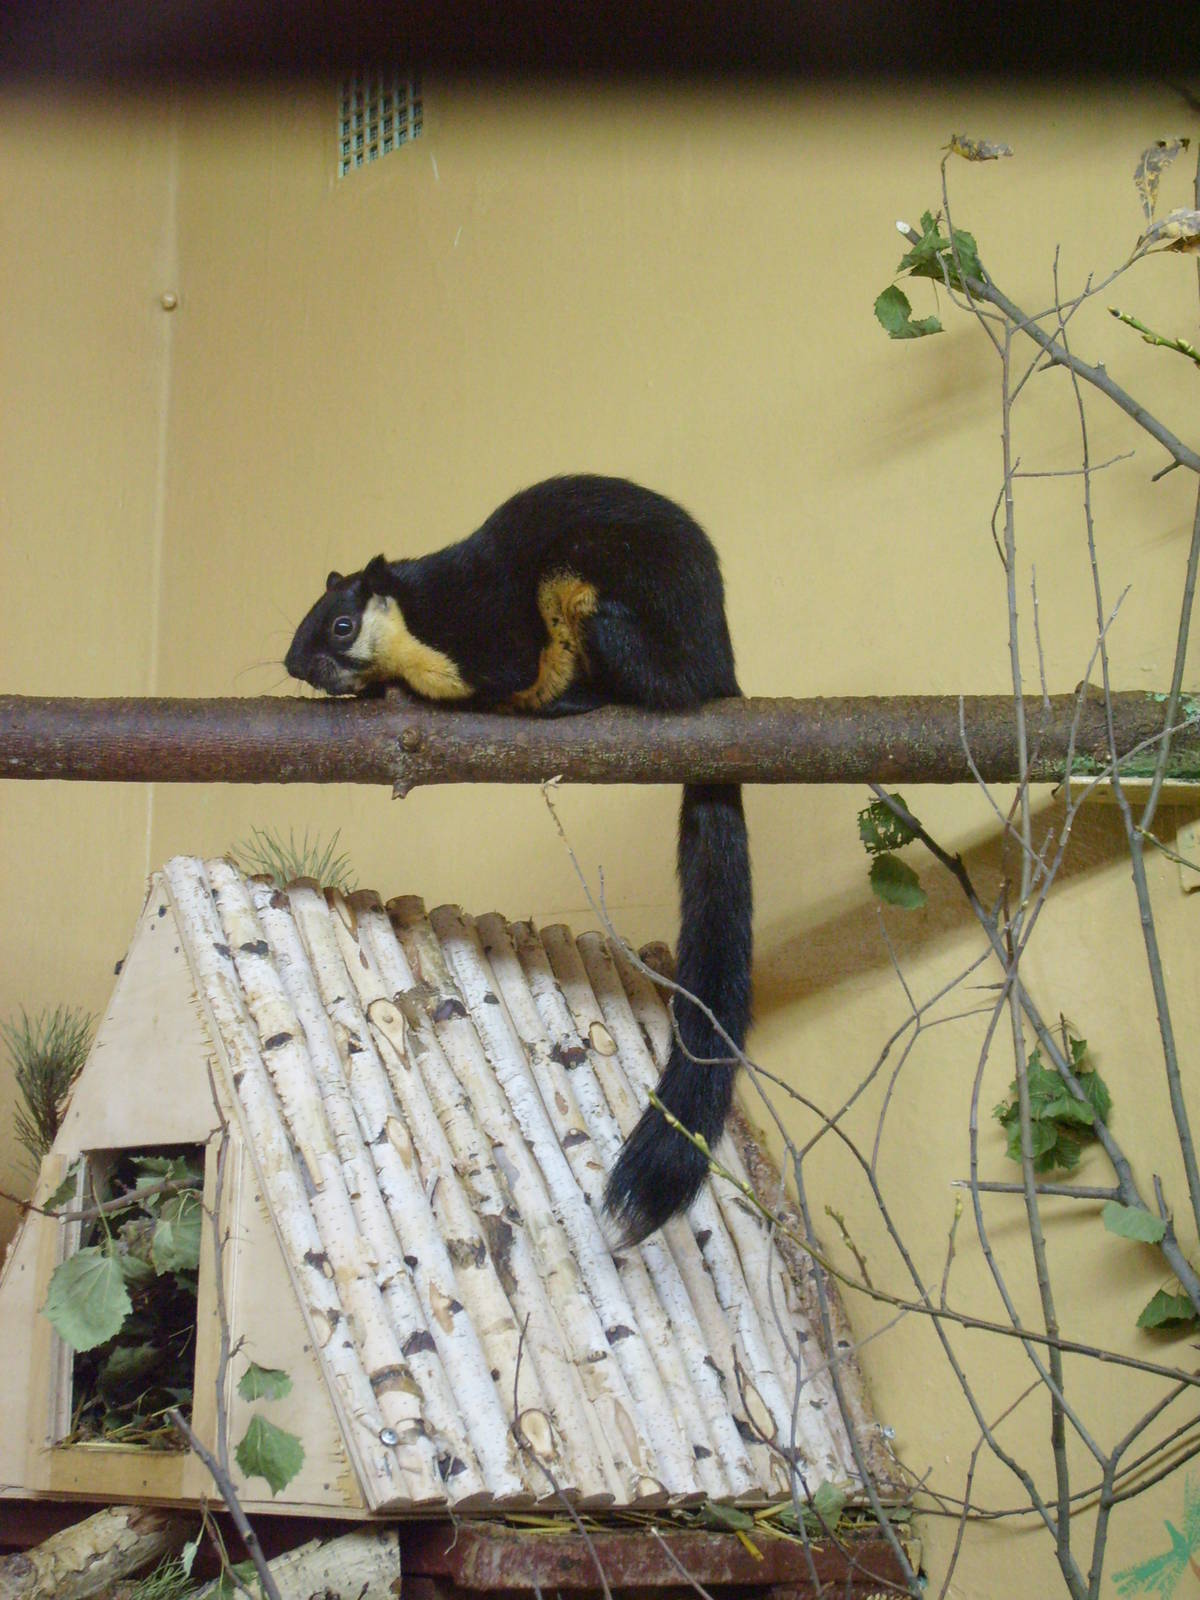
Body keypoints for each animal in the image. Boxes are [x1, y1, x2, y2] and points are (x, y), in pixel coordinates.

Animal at [285, 474, 752, 1244]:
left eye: (342, 625)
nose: (295, 664)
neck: (424, 611)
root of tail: (723, 670)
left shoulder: (491, 638)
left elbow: (487, 677)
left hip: (595, 607)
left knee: (652, 688)